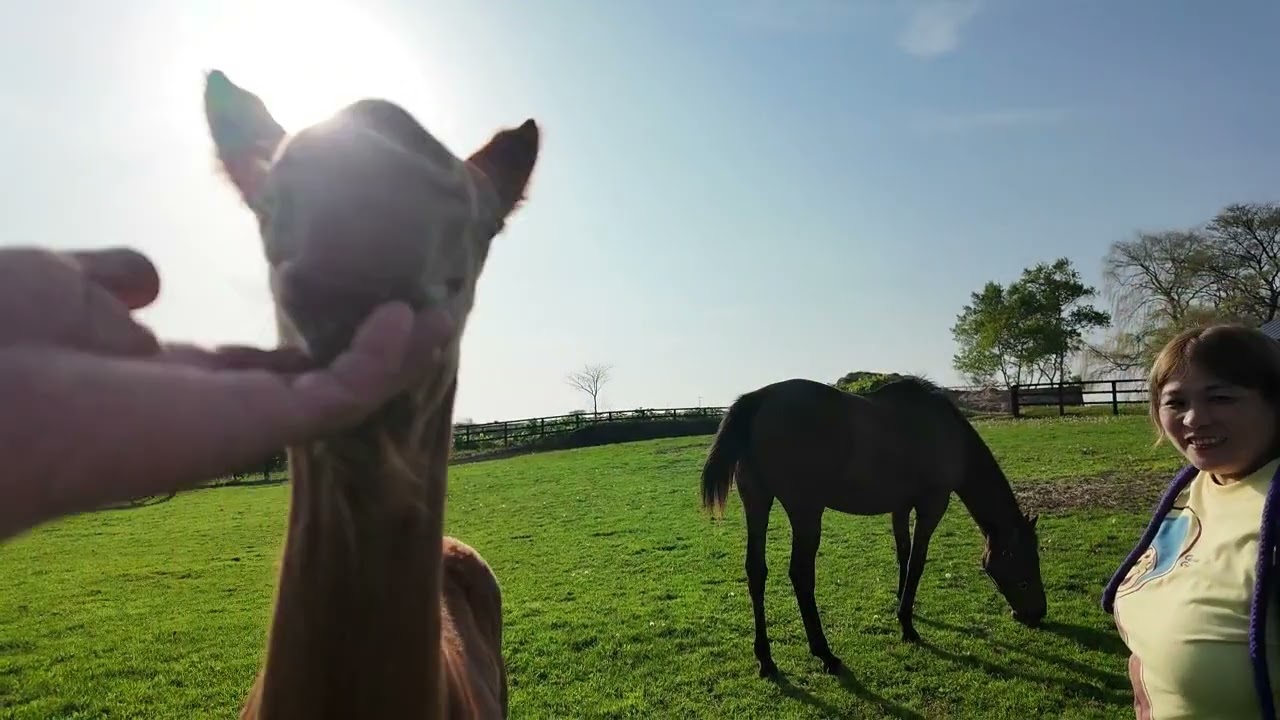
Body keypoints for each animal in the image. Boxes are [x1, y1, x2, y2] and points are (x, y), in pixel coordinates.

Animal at [700, 376, 1046, 678]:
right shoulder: (932, 504)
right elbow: (917, 561)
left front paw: (902, 606)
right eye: (1027, 565)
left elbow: (903, 555)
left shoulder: (900, 506)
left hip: (757, 502)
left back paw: (766, 659)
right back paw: (824, 653)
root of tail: (758, 399)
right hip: (805, 511)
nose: (1038, 614)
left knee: (756, 571)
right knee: (800, 574)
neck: (948, 436)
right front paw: (907, 625)